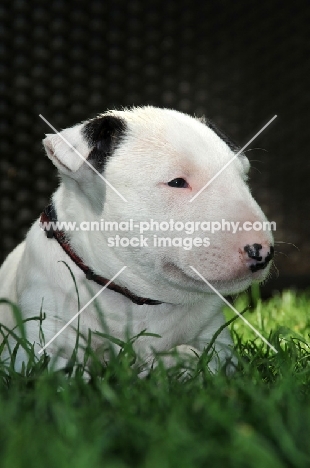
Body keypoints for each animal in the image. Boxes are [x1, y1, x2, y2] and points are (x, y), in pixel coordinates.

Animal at [0, 106, 274, 372]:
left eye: (243, 177)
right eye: (177, 182)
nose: (262, 253)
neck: (138, 298)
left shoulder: (217, 341)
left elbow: (201, 355)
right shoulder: (38, 340)